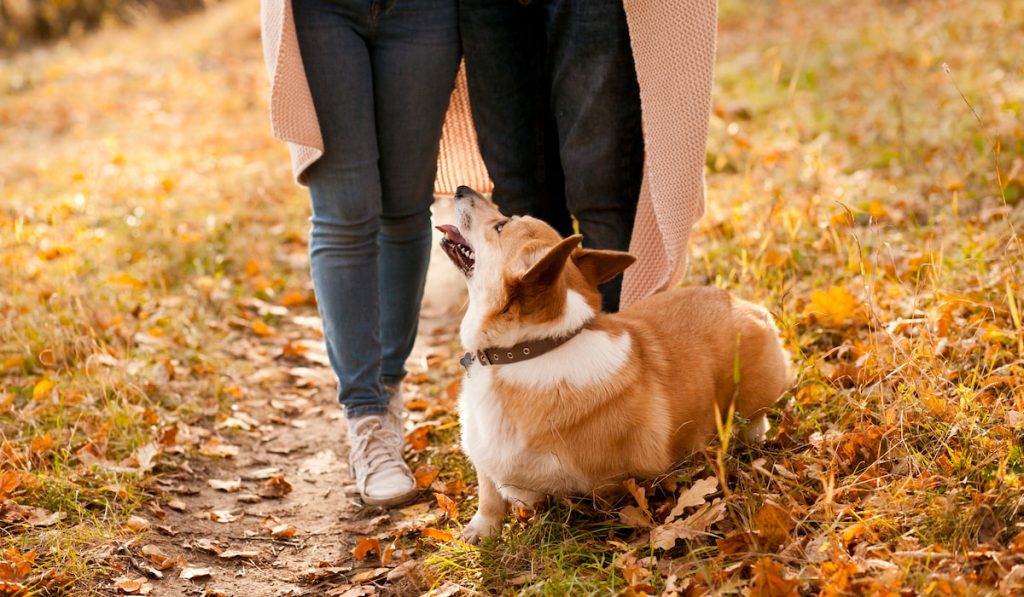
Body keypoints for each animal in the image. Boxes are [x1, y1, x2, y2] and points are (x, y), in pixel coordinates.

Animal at [436, 188, 794, 544]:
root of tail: (744, 303)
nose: (462, 189)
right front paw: (481, 531)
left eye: (501, 226)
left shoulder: (603, 485)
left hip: (753, 396)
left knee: (755, 420)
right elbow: (489, 496)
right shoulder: (483, 458)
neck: (526, 351)